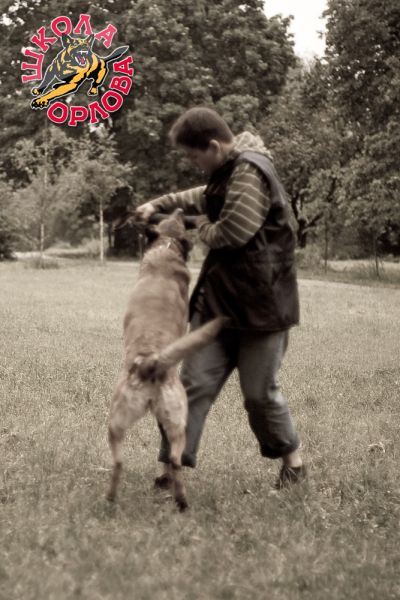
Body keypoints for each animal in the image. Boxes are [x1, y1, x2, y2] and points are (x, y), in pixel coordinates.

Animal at [106, 209, 228, 510]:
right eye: (178, 218)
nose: (181, 209)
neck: (167, 246)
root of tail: (151, 362)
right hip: (173, 422)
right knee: (173, 461)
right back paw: (180, 501)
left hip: (122, 422)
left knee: (122, 462)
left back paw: (115, 499)